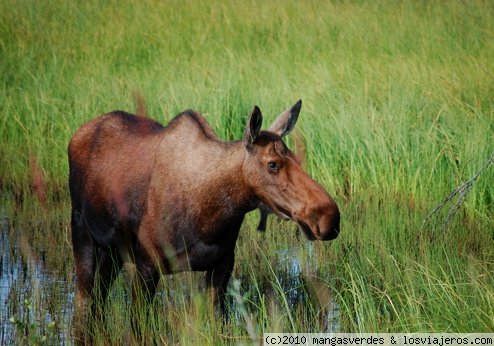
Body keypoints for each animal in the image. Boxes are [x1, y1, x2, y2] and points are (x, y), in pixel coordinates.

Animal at [68, 100, 340, 336]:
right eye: (272, 164)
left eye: (296, 158)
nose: (329, 217)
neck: (212, 216)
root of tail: (76, 136)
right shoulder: (147, 265)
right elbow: (138, 327)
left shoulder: (222, 265)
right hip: (81, 230)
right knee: (84, 301)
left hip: (112, 250)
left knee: (100, 299)